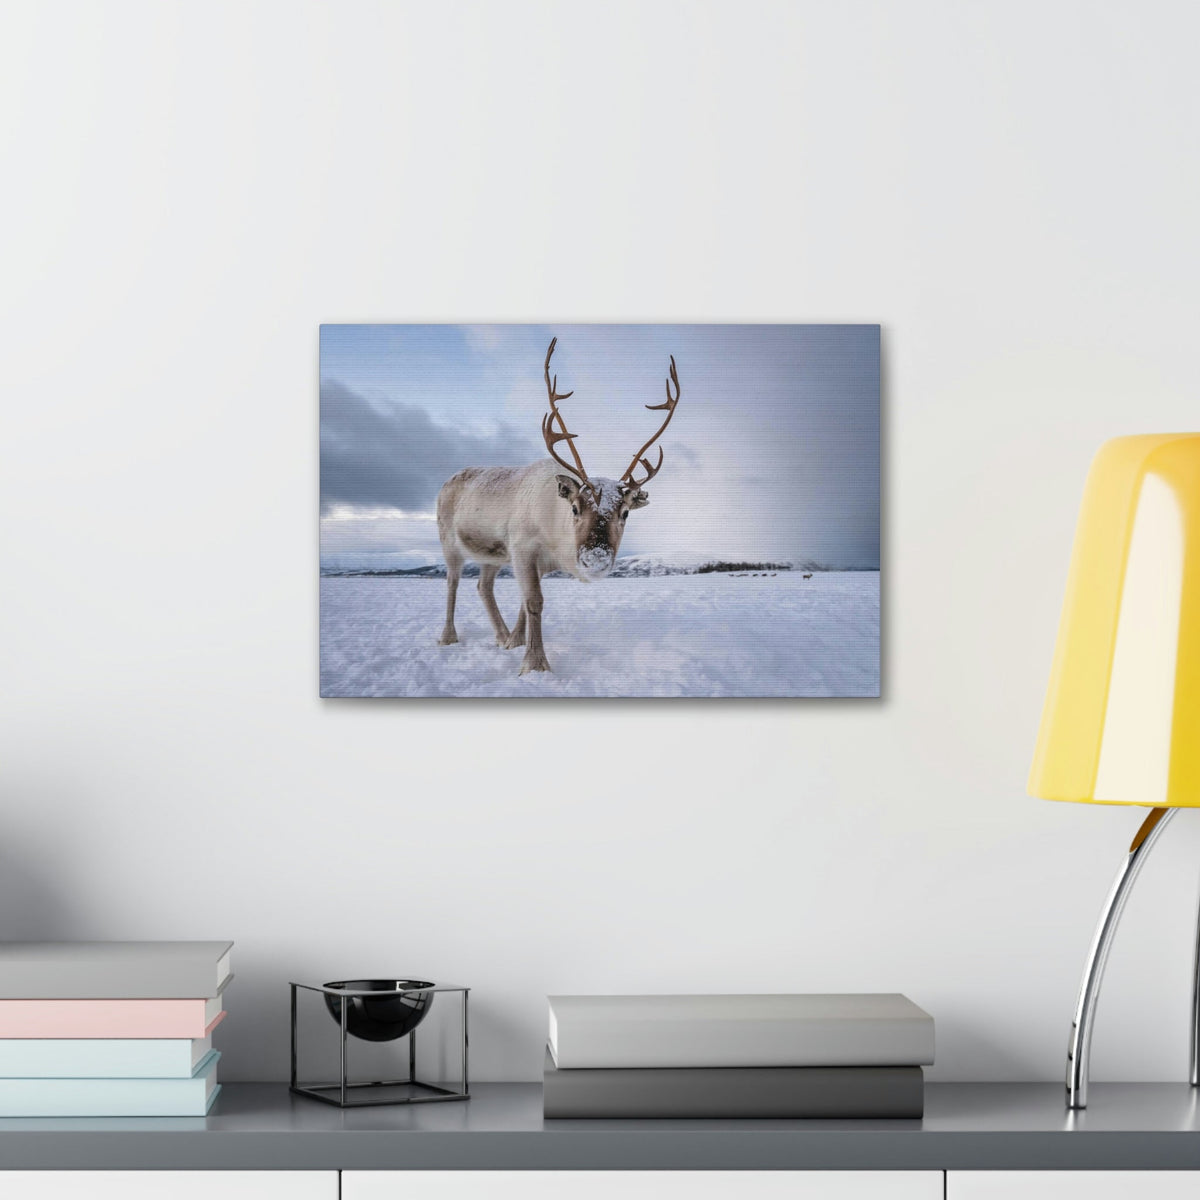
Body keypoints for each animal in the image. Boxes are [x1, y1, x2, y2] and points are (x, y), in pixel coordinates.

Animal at [435, 338, 681, 674]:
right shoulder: (522, 548)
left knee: (483, 586)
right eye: (575, 508)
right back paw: (448, 637)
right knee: (452, 582)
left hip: (492, 555)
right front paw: (535, 664)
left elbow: (525, 603)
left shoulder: (535, 562)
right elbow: (534, 602)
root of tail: (446, 482)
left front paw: (515, 642)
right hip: (449, 541)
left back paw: (501, 636)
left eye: (626, 512)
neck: (555, 537)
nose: (595, 559)